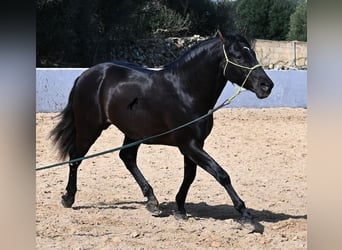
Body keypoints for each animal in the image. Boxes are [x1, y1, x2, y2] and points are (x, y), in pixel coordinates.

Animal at [50, 30, 274, 221]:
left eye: (252, 53)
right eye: (238, 56)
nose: (267, 86)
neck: (186, 91)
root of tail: (85, 75)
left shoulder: (193, 145)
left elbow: (190, 176)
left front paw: (180, 209)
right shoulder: (190, 144)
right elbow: (221, 174)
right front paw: (245, 214)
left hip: (134, 132)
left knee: (127, 157)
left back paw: (152, 201)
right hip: (90, 127)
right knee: (76, 158)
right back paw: (68, 198)